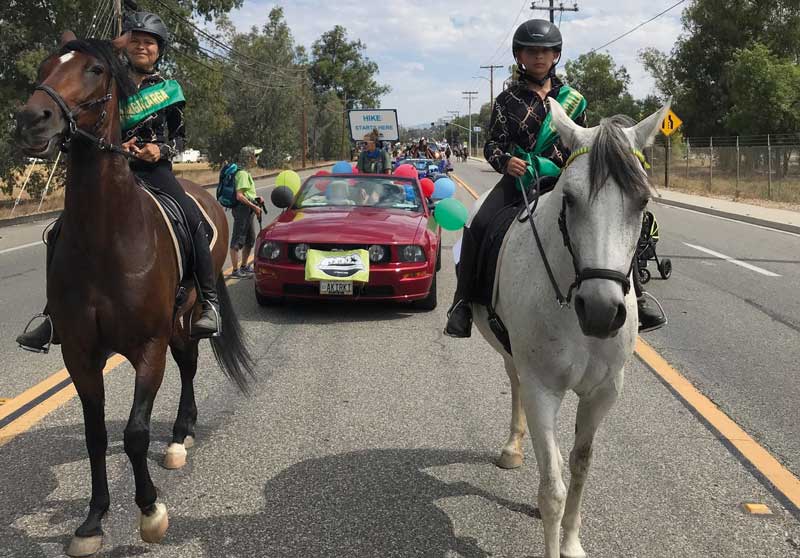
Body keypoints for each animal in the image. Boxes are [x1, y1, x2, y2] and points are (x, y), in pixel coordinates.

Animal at [14, 32, 253, 556]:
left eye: (94, 70)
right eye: (44, 67)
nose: (32, 118)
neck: (106, 237)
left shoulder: (148, 347)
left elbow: (137, 433)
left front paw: (150, 512)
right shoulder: (80, 354)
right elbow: (97, 436)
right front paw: (92, 520)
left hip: (185, 316)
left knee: (189, 364)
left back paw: (180, 438)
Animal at [476, 100, 668, 558]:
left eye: (642, 201)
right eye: (569, 198)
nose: (600, 310)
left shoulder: (604, 392)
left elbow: (579, 469)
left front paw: (572, 541)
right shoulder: (542, 388)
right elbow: (553, 490)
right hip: (513, 357)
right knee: (515, 385)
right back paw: (512, 448)